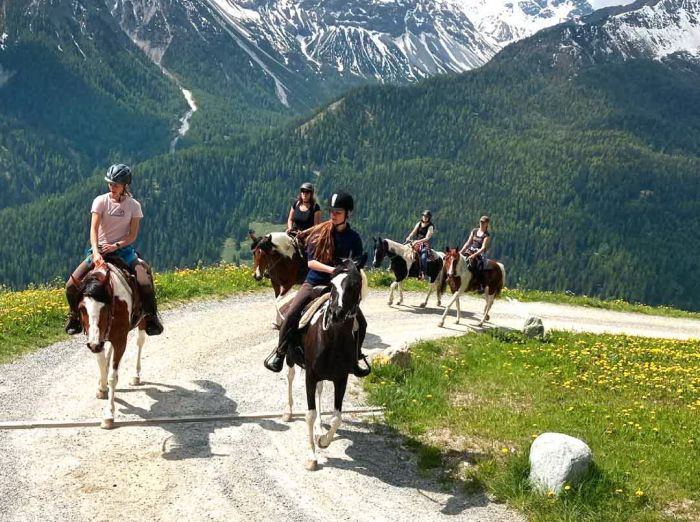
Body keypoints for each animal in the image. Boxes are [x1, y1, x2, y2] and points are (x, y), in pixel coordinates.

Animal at [78, 258, 146, 426]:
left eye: (104, 307)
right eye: (82, 308)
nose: (94, 344)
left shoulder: (120, 340)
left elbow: (113, 376)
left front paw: (109, 414)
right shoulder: (96, 340)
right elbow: (102, 365)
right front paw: (102, 388)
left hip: (142, 321)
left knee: (140, 342)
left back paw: (136, 376)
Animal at [278, 254, 370, 470]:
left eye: (355, 284)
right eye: (332, 284)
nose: (336, 313)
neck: (332, 339)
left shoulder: (341, 379)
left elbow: (337, 417)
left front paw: (323, 441)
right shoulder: (310, 376)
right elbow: (309, 415)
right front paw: (312, 456)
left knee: (320, 392)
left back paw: (320, 427)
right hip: (290, 357)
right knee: (289, 376)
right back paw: (288, 411)